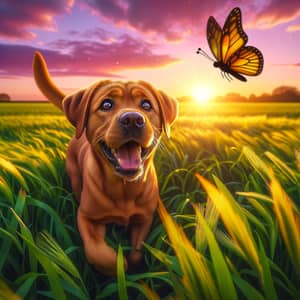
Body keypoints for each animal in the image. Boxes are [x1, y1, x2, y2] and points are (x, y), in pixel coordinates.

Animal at [32, 51, 178, 274]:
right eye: (106, 104)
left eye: (146, 105)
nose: (133, 119)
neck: (124, 189)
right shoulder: (86, 217)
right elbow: (99, 253)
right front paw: (118, 266)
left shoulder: (144, 219)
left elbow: (137, 251)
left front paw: (133, 267)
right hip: (75, 177)